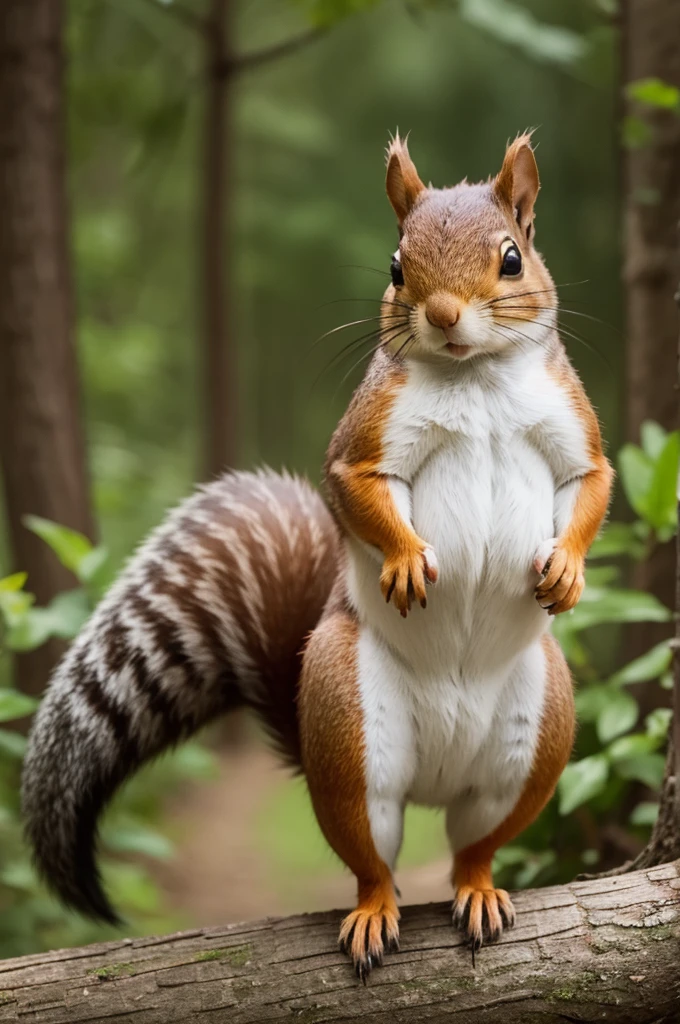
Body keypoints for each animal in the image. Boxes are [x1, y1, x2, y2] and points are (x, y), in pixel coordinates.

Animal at [23, 132, 614, 978]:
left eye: (512, 257)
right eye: (396, 266)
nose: (442, 314)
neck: (472, 374)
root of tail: (436, 777)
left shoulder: (573, 426)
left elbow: (590, 484)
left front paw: (566, 568)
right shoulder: (360, 441)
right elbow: (356, 492)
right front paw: (404, 558)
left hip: (539, 732)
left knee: (476, 845)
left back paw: (477, 889)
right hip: (344, 714)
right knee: (372, 856)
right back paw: (374, 911)